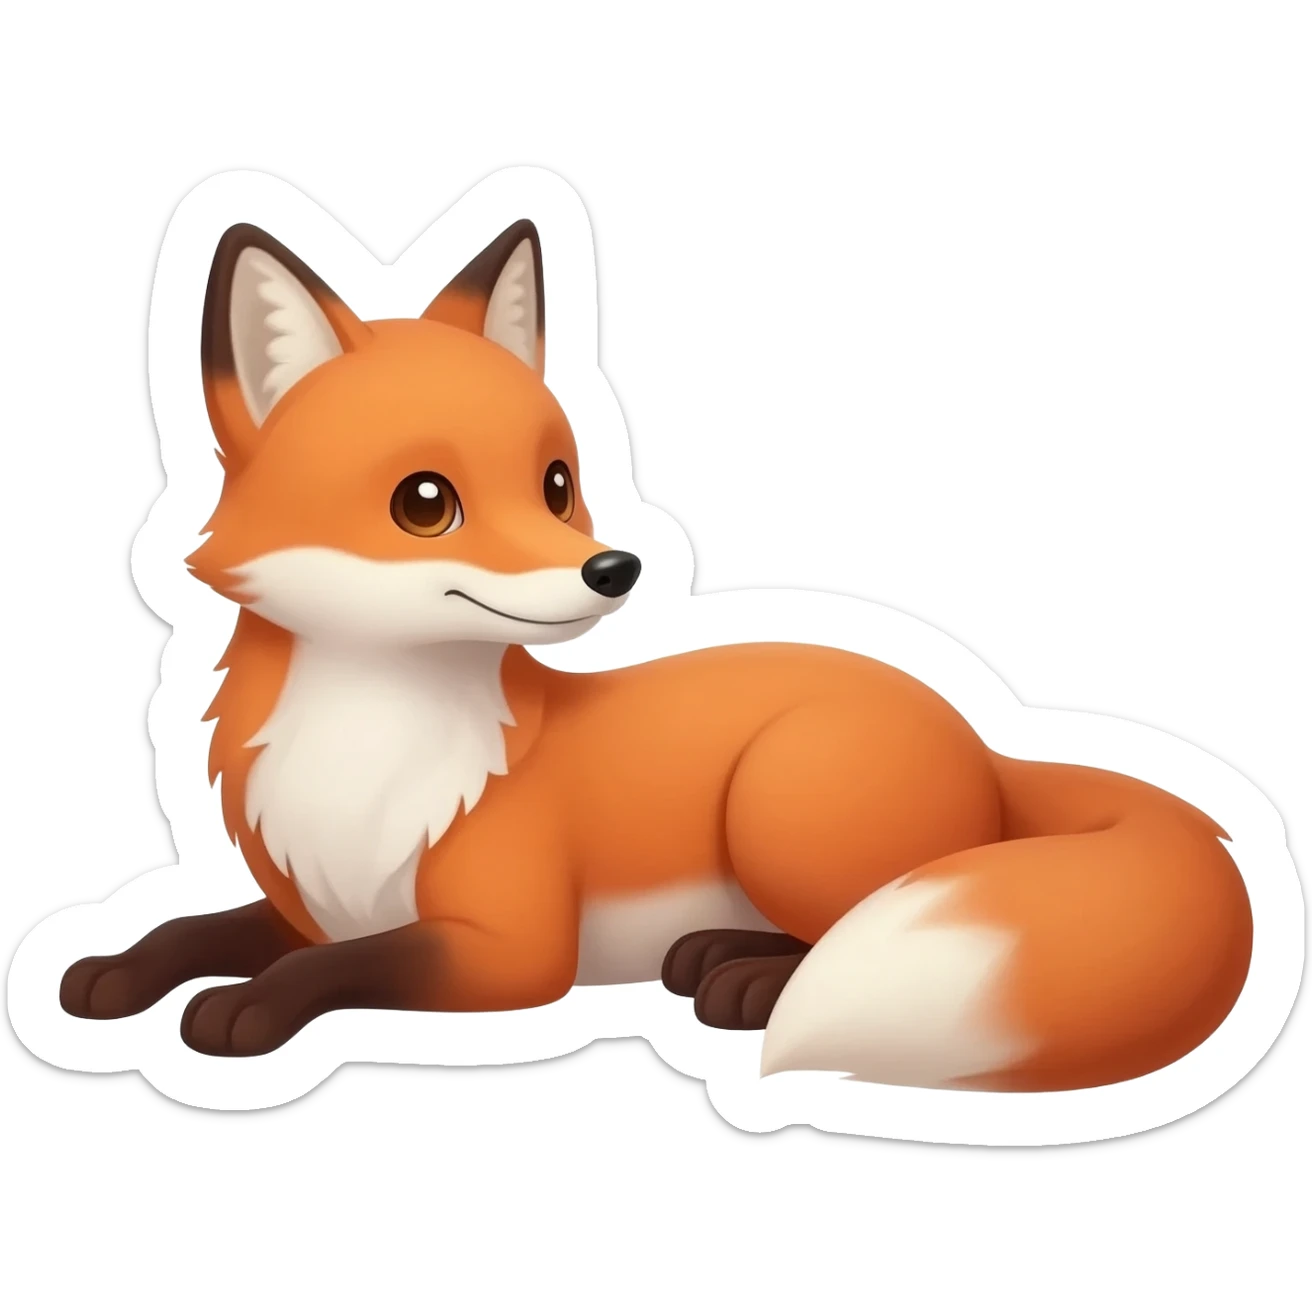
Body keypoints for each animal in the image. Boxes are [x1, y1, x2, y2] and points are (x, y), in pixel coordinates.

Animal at [60, 216, 1254, 1094]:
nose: (616, 568)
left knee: (844, 922)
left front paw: (245, 1008)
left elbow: (332, 965)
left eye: (555, 483)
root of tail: (981, 738)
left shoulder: (504, 950)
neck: (371, 757)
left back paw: (745, 981)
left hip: (784, 799)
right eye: (425, 502)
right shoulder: (313, 897)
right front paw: (111, 971)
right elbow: (190, 927)